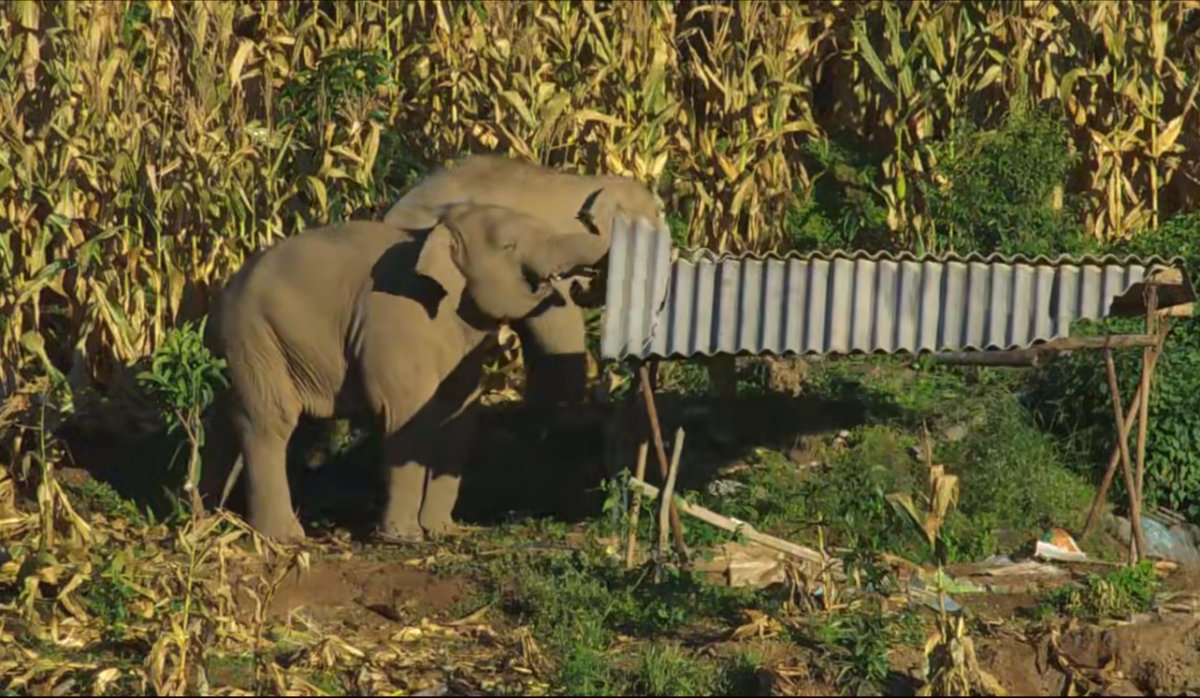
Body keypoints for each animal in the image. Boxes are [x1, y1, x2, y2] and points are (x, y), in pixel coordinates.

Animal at [205, 205, 609, 544]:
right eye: (509, 245)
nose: (579, 282)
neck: (436, 236)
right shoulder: (395, 320)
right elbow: (406, 415)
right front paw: (404, 538)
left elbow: (457, 418)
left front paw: (441, 530)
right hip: (255, 338)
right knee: (270, 422)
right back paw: (284, 537)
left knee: (223, 420)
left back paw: (207, 518)